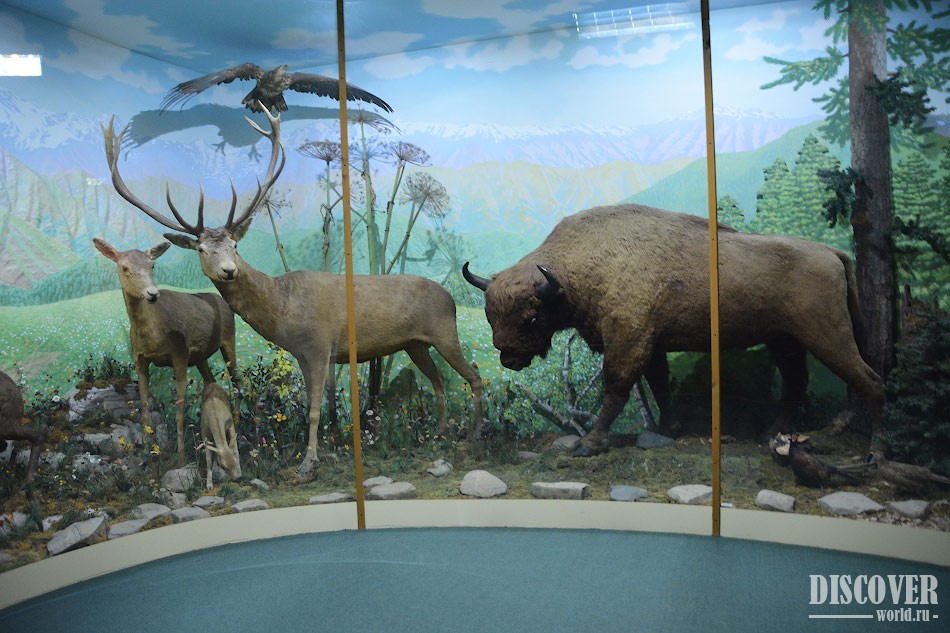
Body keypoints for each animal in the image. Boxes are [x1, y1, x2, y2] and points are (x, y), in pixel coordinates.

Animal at [92, 236, 240, 455]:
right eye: (124, 267)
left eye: (152, 265)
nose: (152, 293)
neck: (154, 336)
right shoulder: (140, 359)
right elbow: (144, 406)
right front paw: (148, 449)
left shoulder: (180, 356)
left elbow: (179, 409)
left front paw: (181, 453)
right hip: (200, 357)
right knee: (211, 380)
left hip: (229, 338)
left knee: (237, 380)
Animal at [463, 204, 884, 456]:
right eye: (490, 315)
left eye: (532, 318)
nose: (508, 357)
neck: (582, 265)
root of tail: (832, 252)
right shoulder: (654, 344)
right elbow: (660, 386)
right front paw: (669, 429)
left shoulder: (628, 340)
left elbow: (615, 390)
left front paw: (589, 444)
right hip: (786, 341)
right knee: (796, 385)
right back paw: (770, 435)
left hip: (827, 335)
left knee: (869, 379)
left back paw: (870, 448)